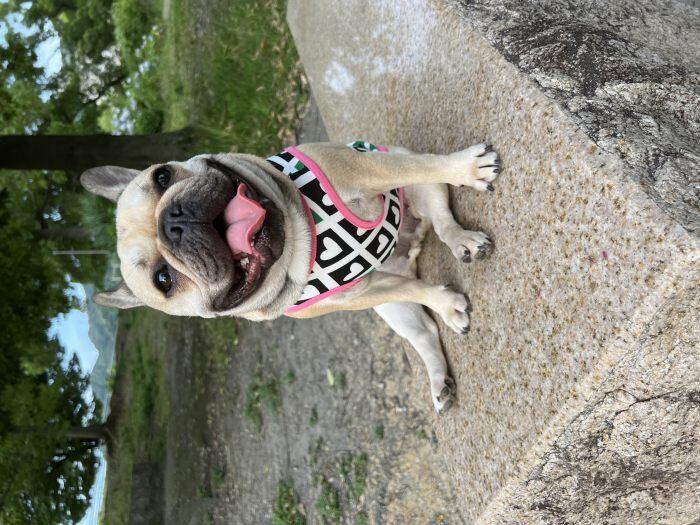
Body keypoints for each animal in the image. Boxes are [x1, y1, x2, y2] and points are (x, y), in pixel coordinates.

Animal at [81, 141, 500, 413]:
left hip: (413, 182)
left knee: (439, 211)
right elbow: (418, 290)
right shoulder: (362, 293)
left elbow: (422, 166)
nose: (172, 222)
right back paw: (439, 375)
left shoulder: (363, 168)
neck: (297, 242)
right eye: (163, 280)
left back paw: (463, 238)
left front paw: (468, 168)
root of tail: (411, 241)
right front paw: (444, 302)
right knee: (422, 328)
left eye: (163, 176)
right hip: (392, 308)